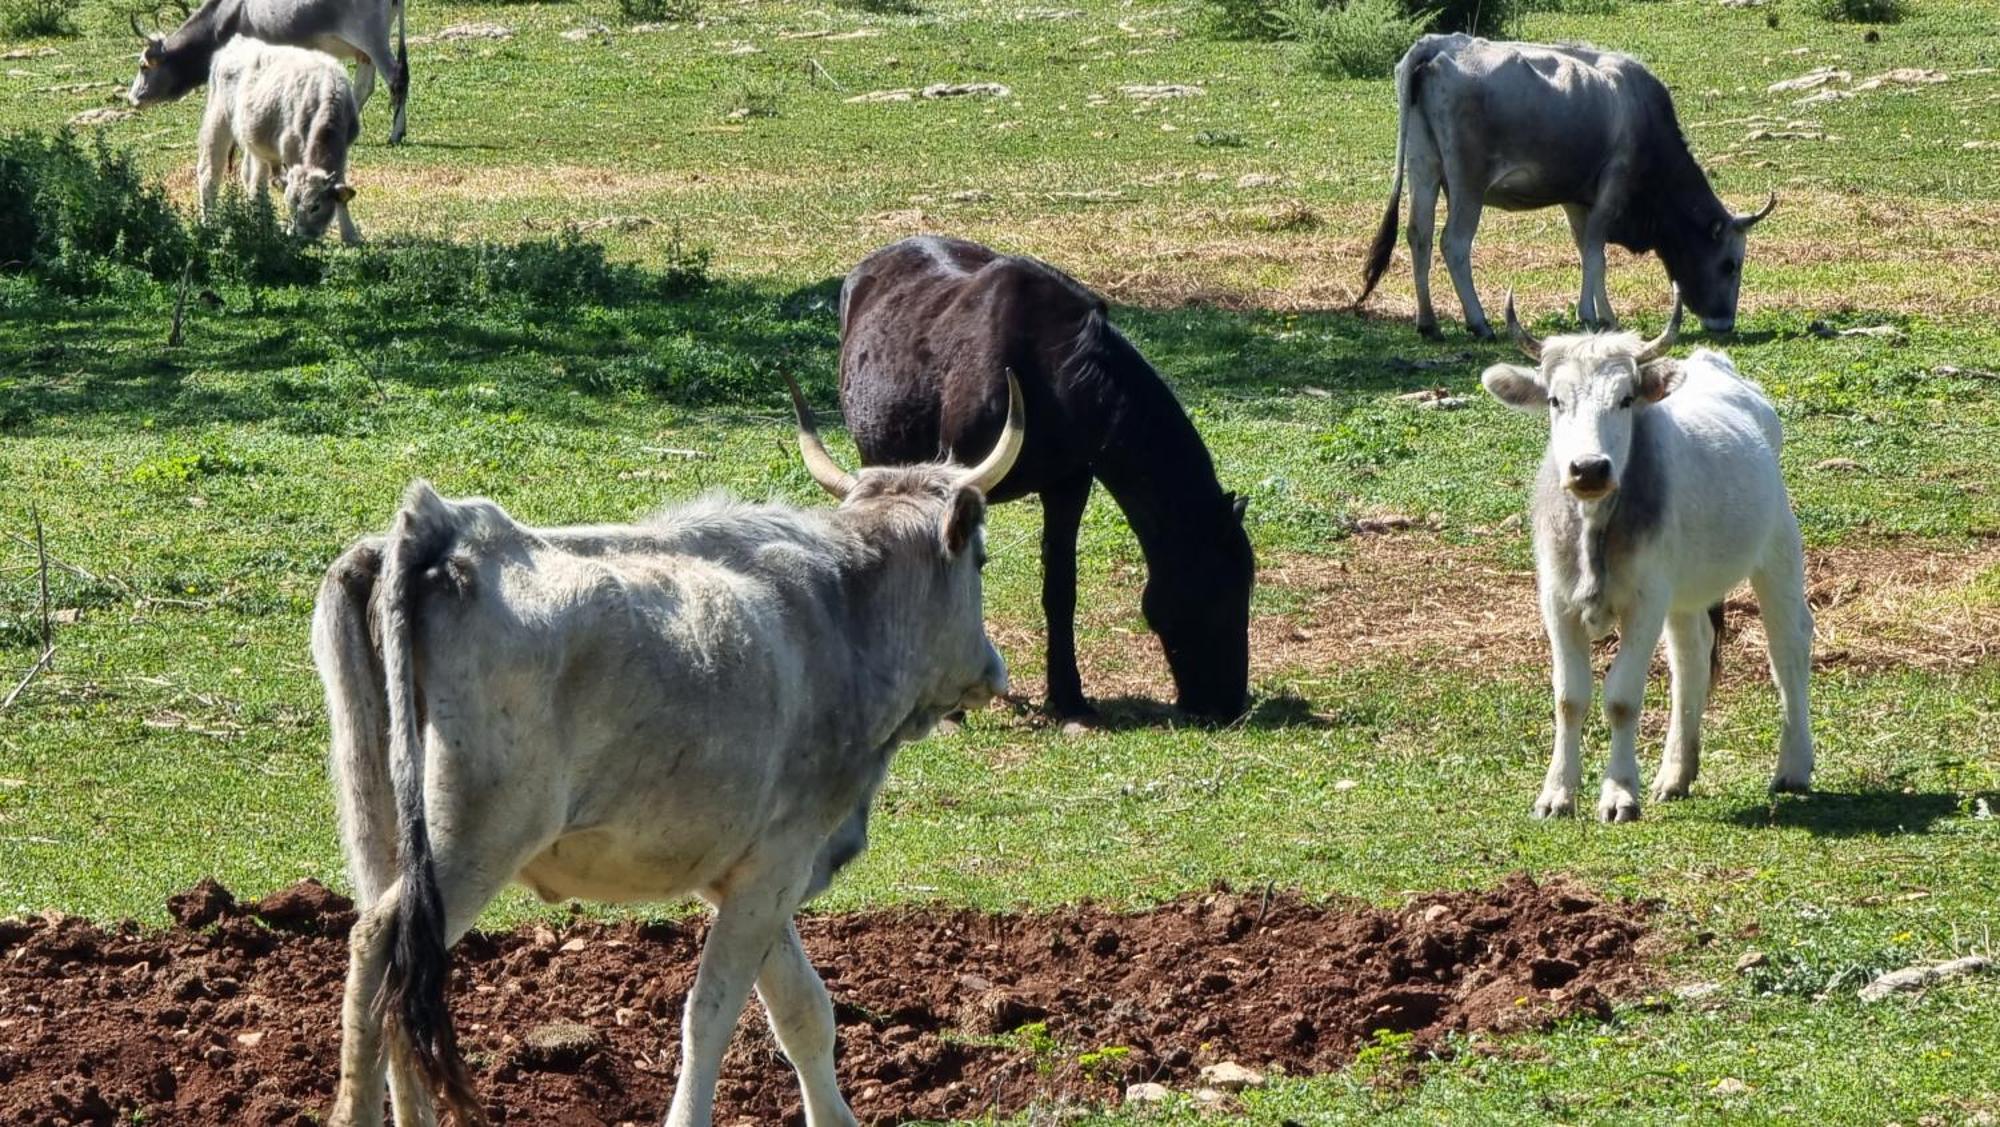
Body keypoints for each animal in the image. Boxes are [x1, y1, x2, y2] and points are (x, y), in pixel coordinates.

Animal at [128, 0, 410, 144]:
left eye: (143, 66)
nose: (132, 98)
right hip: (364, 49)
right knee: (365, 87)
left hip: (372, 39)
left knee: (396, 78)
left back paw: (395, 134)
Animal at [203, 37, 364, 241]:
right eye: (291, 205)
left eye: (315, 206)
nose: (302, 236)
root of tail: (236, 43)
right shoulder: (291, 150)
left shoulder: (343, 150)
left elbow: (341, 193)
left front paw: (350, 236)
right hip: (218, 120)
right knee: (209, 173)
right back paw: (209, 223)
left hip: (255, 142)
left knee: (253, 180)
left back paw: (261, 223)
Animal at [840, 241, 1248, 727]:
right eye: (1220, 595)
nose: (1229, 705)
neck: (1051, 374)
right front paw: (952, 713)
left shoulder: (1068, 485)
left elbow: (1061, 589)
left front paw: (1069, 698)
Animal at [1360, 34, 1784, 339]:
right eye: (1730, 265)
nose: (1725, 323)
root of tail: (1436, 45)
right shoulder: (1612, 189)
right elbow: (1597, 253)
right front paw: (1597, 316)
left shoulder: (1577, 200)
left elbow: (1586, 252)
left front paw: (1598, 313)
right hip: (1468, 183)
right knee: (1454, 243)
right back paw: (1478, 321)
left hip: (1423, 168)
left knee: (1419, 235)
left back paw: (1429, 323)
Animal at [1488, 289, 1816, 819]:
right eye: (1556, 400)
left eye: (1625, 399)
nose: (1589, 468)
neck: (1594, 527)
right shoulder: (1557, 602)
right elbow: (1569, 697)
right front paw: (1556, 794)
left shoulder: (1644, 601)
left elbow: (1621, 697)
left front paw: (1619, 793)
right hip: (1683, 589)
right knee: (1692, 655)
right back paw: (1676, 773)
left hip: (1777, 549)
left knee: (1788, 644)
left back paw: (1793, 766)